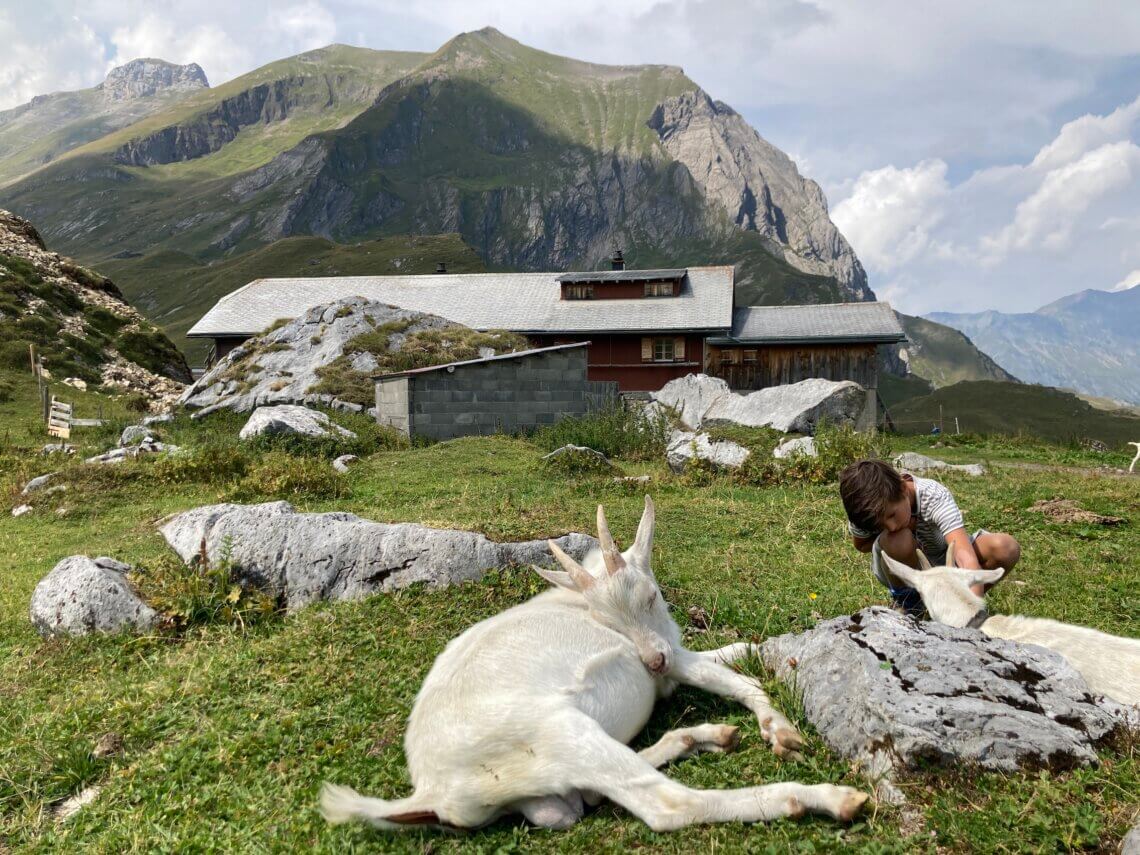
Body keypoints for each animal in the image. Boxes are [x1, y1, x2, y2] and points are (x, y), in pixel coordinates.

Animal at [316, 499, 866, 834]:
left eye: (650, 596)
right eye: (605, 619)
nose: (650, 662)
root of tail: (435, 791)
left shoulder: (673, 650)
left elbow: (738, 651)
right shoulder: (675, 662)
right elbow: (735, 675)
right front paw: (780, 730)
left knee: (585, 801)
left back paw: (700, 736)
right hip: (560, 733)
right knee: (664, 804)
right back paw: (822, 798)